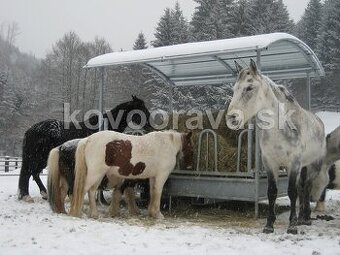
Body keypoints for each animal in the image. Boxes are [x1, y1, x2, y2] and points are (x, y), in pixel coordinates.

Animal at [18, 95, 150, 201]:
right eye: (142, 110)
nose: (150, 126)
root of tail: (31, 130)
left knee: (33, 173)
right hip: (38, 158)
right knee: (30, 173)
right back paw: (31, 195)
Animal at [228, 59, 326, 233]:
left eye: (249, 87)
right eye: (234, 89)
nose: (232, 118)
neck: (280, 130)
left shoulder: (293, 163)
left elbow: (292, 192)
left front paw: (292, 226)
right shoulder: (270, 164)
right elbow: (272, 192)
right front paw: (269, 225)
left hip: (313, 165)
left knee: (306, 187)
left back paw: (306, 218)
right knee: (302, 188)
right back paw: (302, 217)